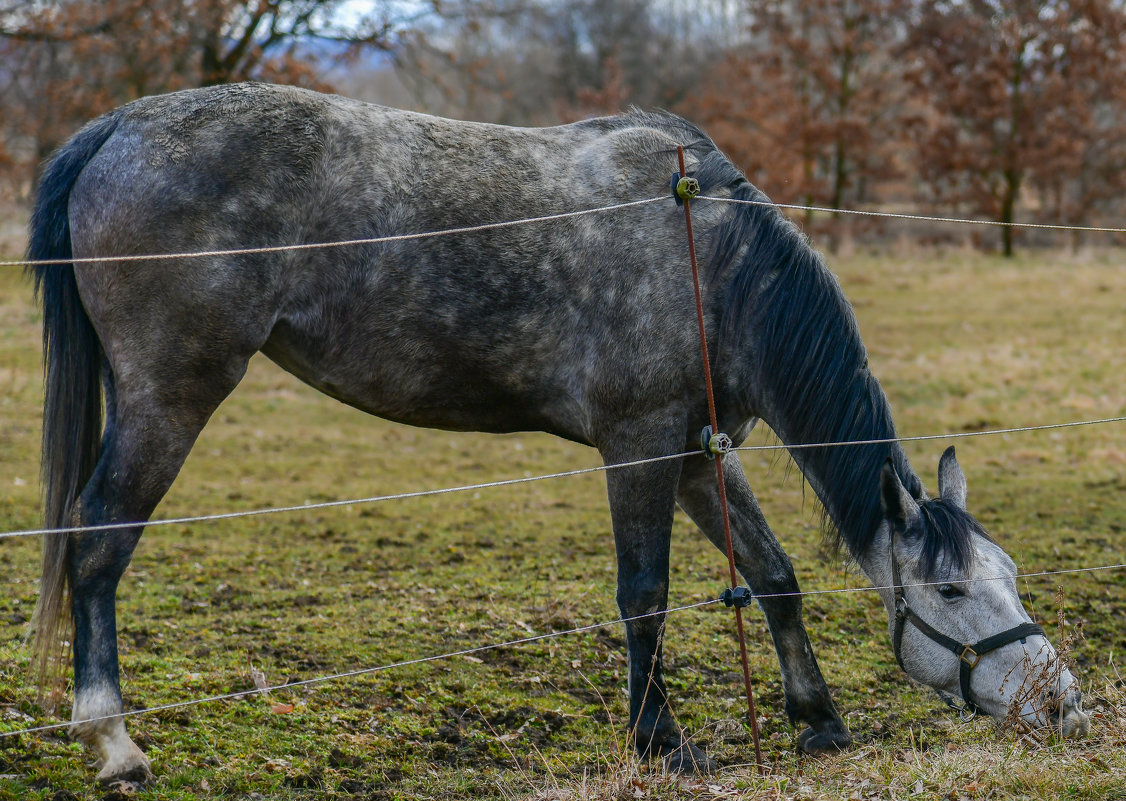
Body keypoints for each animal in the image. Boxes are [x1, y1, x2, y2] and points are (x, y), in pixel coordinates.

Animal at [26, 84, 1080, 788]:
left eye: (1009, 574)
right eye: (951, 590)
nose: (1059, 702)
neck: (709, 255)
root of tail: (119, 125)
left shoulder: (697, 452)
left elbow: (773, 575)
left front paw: (816, 719)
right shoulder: (640, 445)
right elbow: (644, 596)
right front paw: (663, 741)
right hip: (170, 398)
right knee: (99, 544)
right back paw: (113, 742)